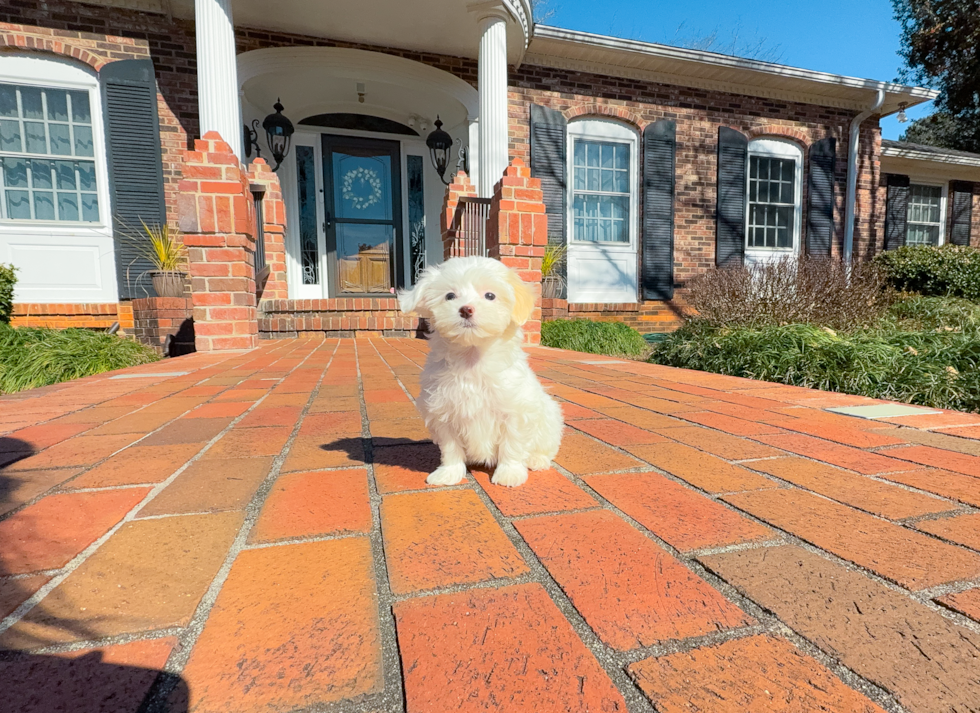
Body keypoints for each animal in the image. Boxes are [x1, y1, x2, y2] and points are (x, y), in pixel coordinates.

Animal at [398, 254, 564, 484]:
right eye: (450, 296)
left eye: (490, 295)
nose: (466, 309)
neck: (472, 358)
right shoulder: (443, 412)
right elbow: (450, 448)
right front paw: (449, 472)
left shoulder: (515, 411)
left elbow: (512, 444)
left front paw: (509, 473)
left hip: (550, 419)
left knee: (546, 446)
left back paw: (537, 460)